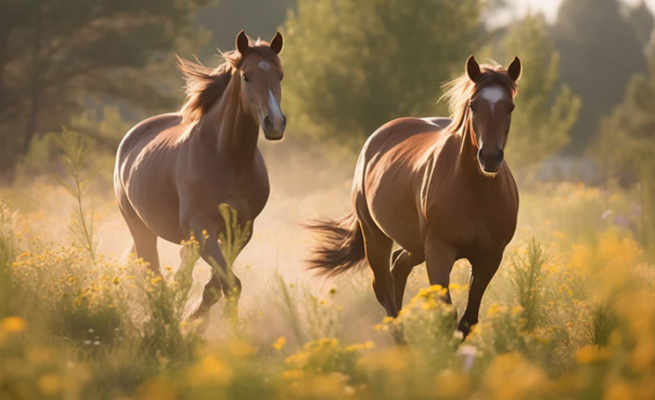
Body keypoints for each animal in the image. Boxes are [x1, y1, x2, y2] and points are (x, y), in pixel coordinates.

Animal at [114, 31, 285, 319]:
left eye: (280, 75)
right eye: (246, 76)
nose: (274, 122)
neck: (228, 159)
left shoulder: (239, 231)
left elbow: (216, 287)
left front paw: (193, 320)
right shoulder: (201, 227)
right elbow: (230, 284)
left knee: (179, 277)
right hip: (140, 228)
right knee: (154, 275)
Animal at [307, 56, 522, 338]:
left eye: (510, 107)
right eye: (473, 106)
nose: (490, 157)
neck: (476, 192)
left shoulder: (491, 257)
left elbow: (468, 320)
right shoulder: (438, 253)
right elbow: (448, 314)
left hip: (415, 245)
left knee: (399, 267)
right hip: (375, 235)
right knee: (383, 284)